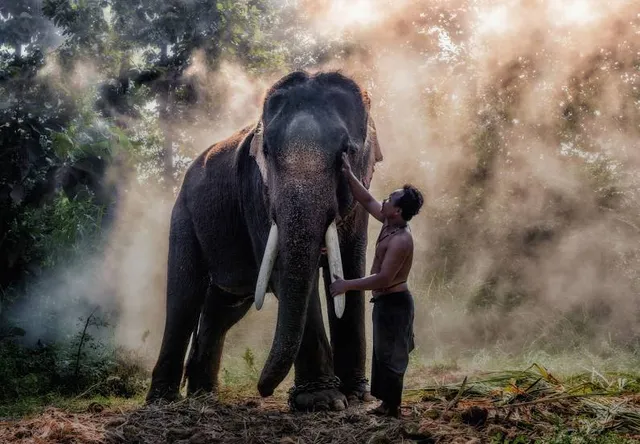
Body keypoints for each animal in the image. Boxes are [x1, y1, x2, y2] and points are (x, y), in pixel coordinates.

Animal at [146, 70, 383, 411]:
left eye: (346, 151)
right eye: (268, 153)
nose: (263, 390)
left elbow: (352, 269)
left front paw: (357, 397)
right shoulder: (256, 192)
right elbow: (283, 274)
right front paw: (322, 401)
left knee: (224, 307)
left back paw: (204, 396)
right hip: (184, 216)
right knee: (184, 297)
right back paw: (163, 401)